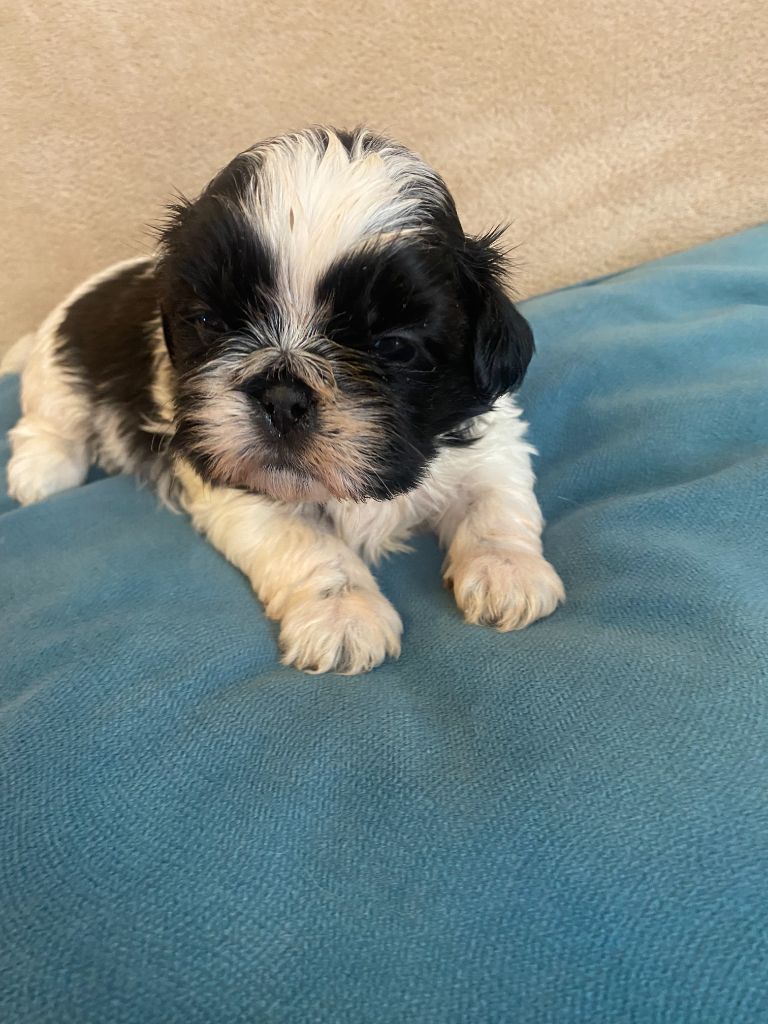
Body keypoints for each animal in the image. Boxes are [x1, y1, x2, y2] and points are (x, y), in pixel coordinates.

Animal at [5, 126, 564, 674]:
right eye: (210, 323)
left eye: (393, 347)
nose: (282, 397)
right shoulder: (235, 480)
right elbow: (309, 543)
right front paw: (343, 615)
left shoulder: (491, 443)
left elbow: (494, 501)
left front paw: (508, 570)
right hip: (58, 378)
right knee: (46, 425)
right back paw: (42, 473)